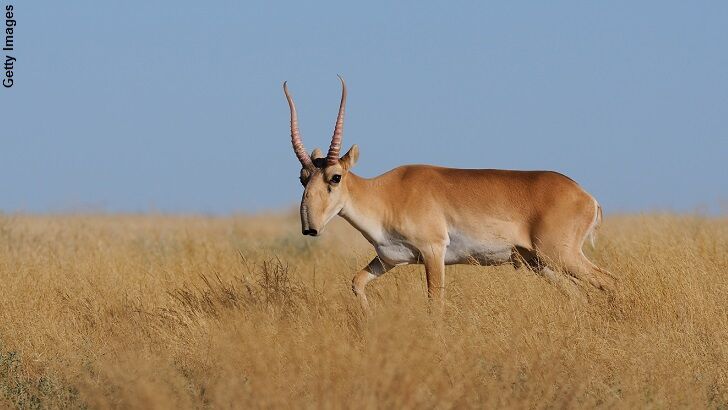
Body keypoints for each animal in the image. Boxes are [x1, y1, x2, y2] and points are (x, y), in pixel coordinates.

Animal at [284, 76, 616, 310]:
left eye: (335, 177)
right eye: (303, 178)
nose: (310, 227)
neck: (385, 194)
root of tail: (585, 196)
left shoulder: (433, 252)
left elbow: (436, 304)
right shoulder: (389, 260)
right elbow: (357, 283)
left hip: (560, 255)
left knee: (609, 282)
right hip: (541, 263)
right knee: (579, 296)